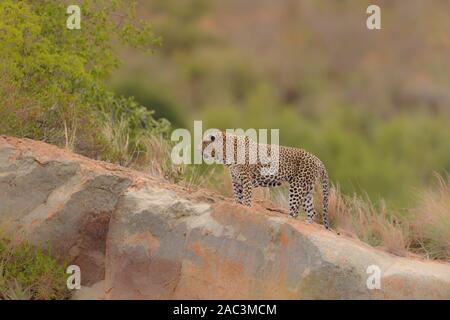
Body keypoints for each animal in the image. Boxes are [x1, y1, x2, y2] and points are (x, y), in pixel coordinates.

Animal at [200, 129, 330, 230]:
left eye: (205, 142)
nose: (198, 149)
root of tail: (317, 159)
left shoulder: (246, 181)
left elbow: (247, 201)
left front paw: (246, 212)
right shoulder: (236, 182)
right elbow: (238, 199)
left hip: (297, 187)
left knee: (294, 212)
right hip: (307, 189)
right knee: (312, 211)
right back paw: (307, 224)